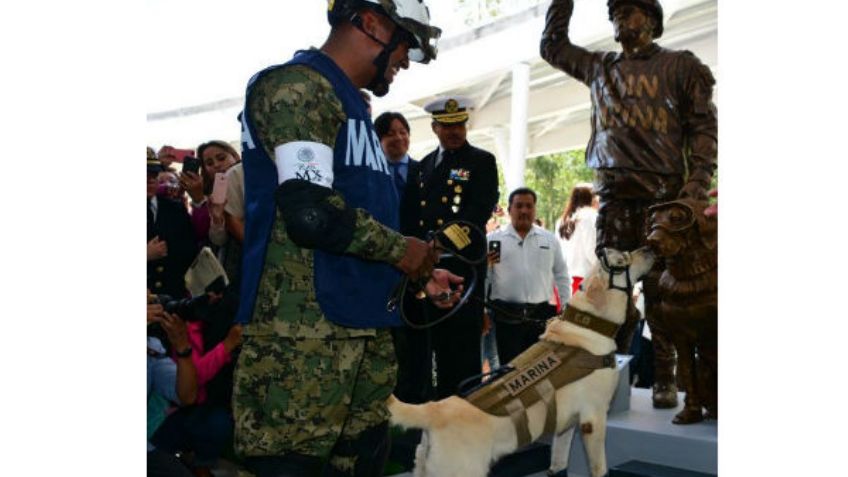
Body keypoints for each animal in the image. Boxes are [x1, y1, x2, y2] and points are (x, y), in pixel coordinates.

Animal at [388, 247, 660, 474]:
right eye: (623, 260)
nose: (649, 247)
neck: (588, 323)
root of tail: (434, 409)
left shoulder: (565, 426)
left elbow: (558, 462)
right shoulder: (593, 419)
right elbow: (599, 468)